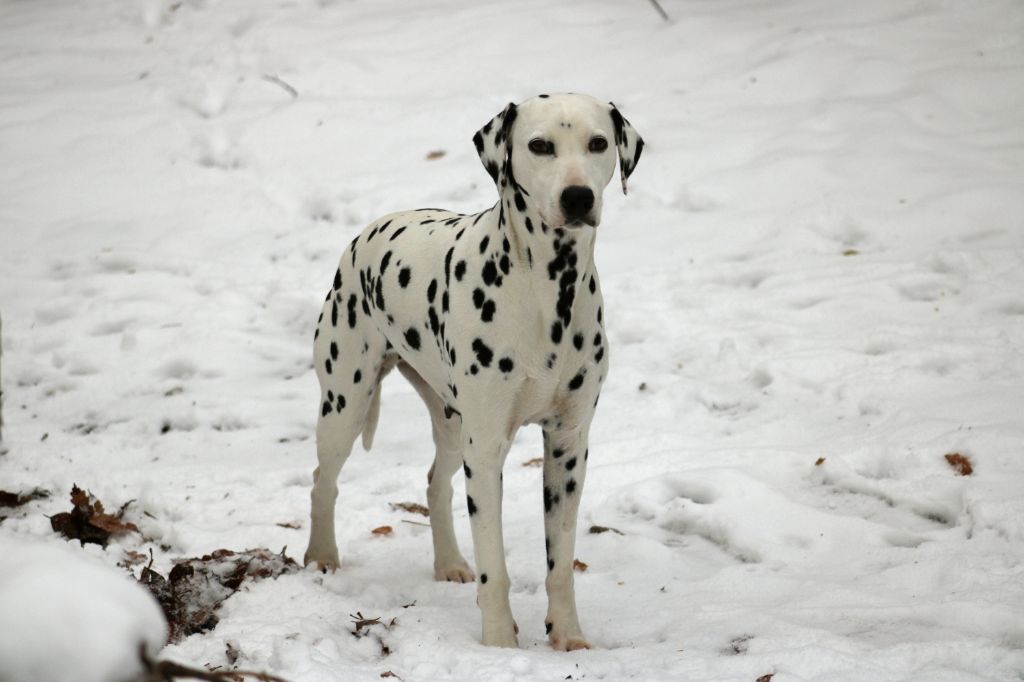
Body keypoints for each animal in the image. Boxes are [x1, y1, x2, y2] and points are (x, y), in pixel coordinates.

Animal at [299, 91, 643, 647]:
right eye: (539, 145)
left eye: (598, 143)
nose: (577, 197)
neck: (547, 291)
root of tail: (367, 232)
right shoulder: (486, 452)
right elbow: (495, 566)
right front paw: (500, 643)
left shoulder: (568, 448)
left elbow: (561, 562)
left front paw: (568, 636)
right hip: (345, 405)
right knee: (322, 481)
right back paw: (322, 556)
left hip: (451, 421)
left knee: (435, 483)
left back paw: (449, 562)